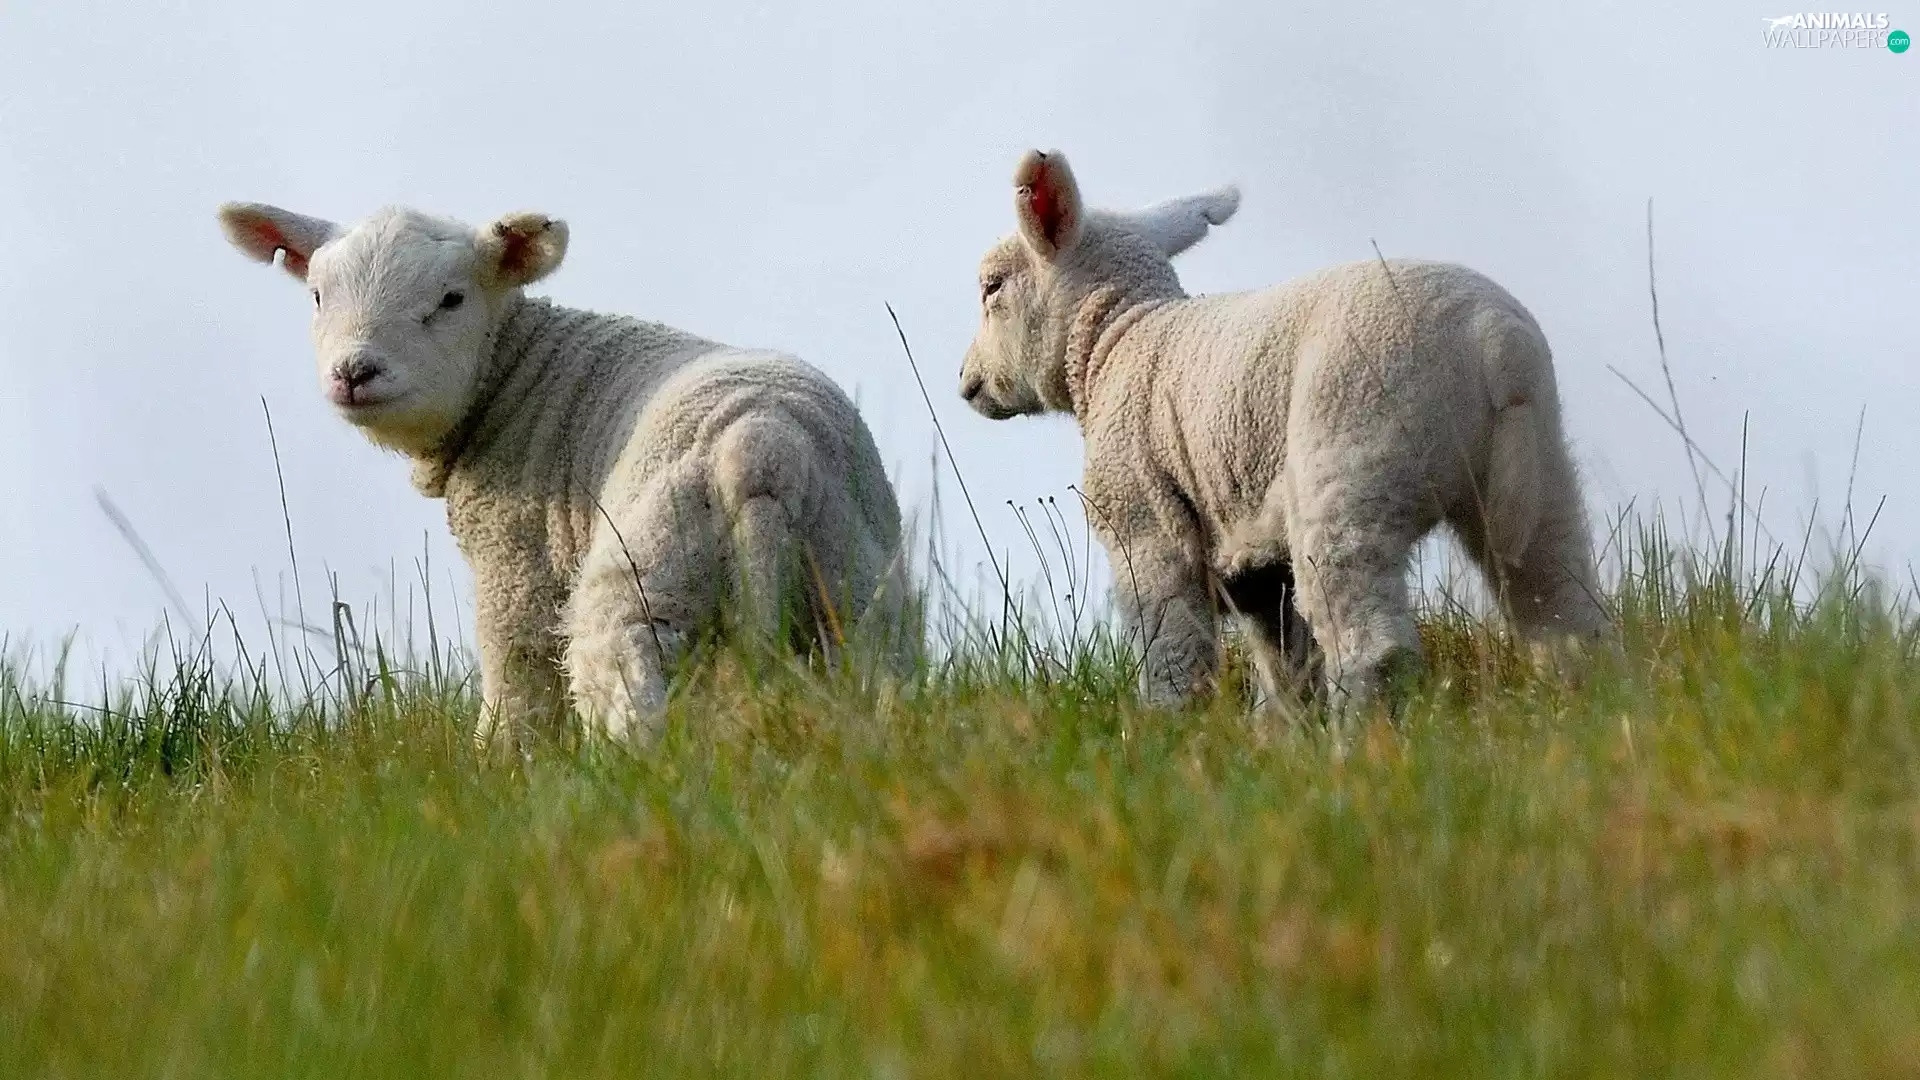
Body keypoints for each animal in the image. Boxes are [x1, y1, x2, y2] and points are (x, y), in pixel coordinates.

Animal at [217, 202, 912, 748]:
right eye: (316, 296)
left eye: (451, 299)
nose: (354, 372)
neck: (515, 372)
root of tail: (763, 447)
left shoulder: (516, 565)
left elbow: (516, 693)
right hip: (856, 588)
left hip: (646, 568)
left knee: (628, 696)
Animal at [958, 149, 1610, 720]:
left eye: (992, 286)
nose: (966, 385)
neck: (1117, 337)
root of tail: (1495, 340)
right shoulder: (1249, 552)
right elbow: (1281, 663)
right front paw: (1284, 738)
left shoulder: (1144, 524)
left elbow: (1172, 655)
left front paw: (1170, 734)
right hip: (1538, 470)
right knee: (1567, 615)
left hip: (1350, 458)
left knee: (1372, 646)